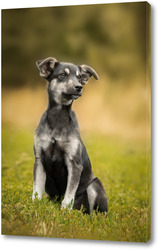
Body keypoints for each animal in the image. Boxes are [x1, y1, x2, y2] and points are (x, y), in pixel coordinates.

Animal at [32, 57, 108, 214]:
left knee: (95, 211)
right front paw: (34, 206)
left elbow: (69, 194)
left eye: (79, 77)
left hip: (94, 185)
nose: (79, 87)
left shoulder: (74, 164)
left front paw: (64, 212)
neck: (58, 117)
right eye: (62, 75)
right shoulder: (39, 160)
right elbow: (36, 191)